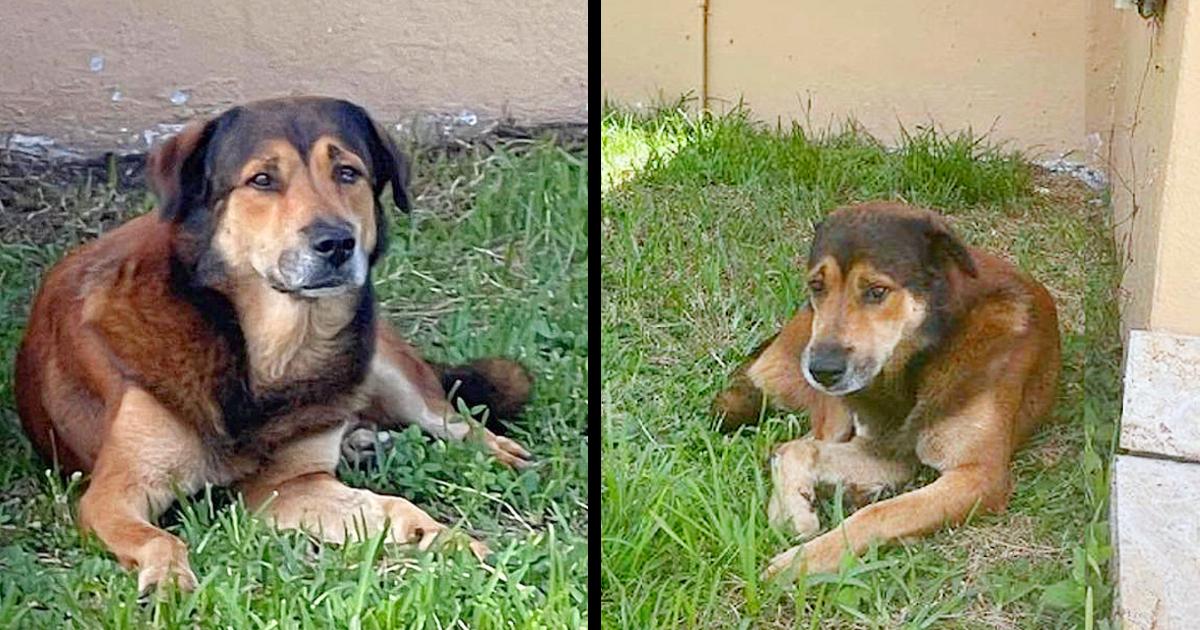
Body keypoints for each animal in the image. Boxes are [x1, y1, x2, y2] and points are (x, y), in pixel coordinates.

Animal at [15, 96, 535, 592]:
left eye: (348, 172)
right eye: (262, 180)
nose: (336, 243)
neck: (265, 354)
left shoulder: (290, 485)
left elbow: (396, 508)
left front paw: (451, 541)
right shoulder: (113, 495)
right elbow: (160, 540)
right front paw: (167, 580)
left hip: (380, 362)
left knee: (452, 419)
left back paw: (494, 452)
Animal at [710, 201, 1060, 580]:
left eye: (876, 291)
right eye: (817, 286)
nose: (821, 370)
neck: (918, 362)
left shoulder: (978, 476)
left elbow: (881, 513)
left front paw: (801, 562)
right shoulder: (884, 450)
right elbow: (799, 451)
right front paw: (795, 517)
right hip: (833, 405)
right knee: (794, 443)